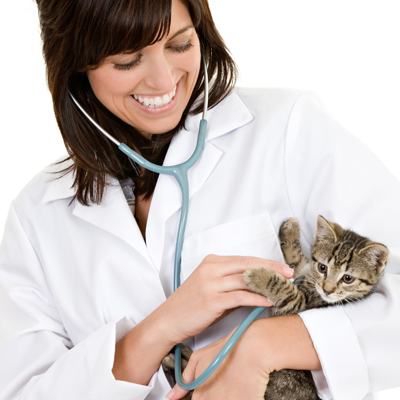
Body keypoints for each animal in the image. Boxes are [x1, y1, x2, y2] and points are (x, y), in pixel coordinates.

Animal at [242, 216, 390, 400]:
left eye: (347, 278)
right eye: (322, 267)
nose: (327, 289)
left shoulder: (295, 306)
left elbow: (285, 290)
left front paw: (259, 277)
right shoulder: (303, 271)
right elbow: (296, 261)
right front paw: (291, 229)